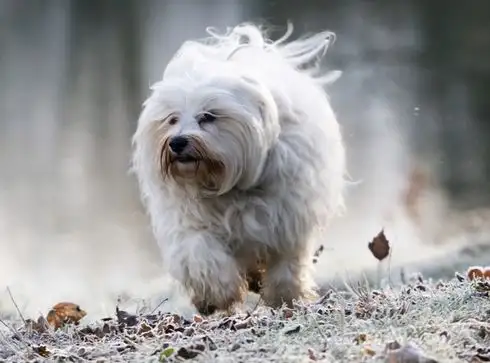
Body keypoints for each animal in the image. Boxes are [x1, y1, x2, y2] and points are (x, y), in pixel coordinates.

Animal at [130, 23, 344, 316]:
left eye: (208, 116)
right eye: (172, 119)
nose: (177, 142)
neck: (225, 184)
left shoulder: (288, 220)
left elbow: (286, 265)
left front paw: (287, 297)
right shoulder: (189, 223)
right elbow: (202, 254)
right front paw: (217, 294)